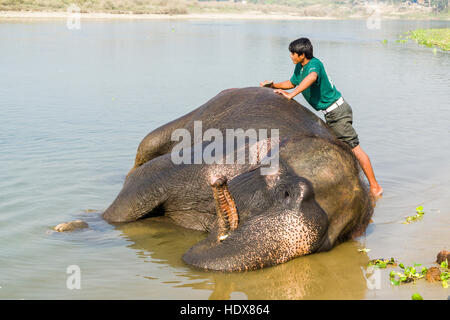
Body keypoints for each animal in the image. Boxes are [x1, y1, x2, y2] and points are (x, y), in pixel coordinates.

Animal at [60, 86, 376, 272]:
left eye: (330, 241)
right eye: (285, 191)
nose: (219, 184)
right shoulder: (213, 158)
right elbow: (142, 183)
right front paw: (69, 226)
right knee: (144, 152)